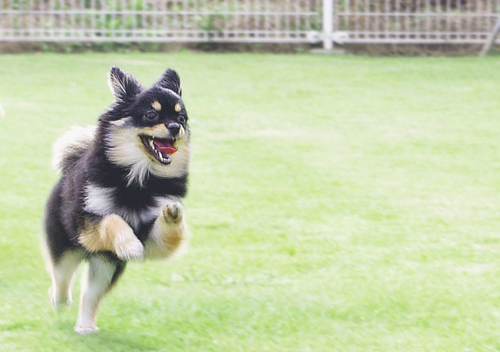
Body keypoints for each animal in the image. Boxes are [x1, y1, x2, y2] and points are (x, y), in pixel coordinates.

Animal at [43, 67, 190, 334]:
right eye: (151, 114)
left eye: (182, 118)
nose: (176, 127)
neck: (138, 180)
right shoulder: (87, 221)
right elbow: (113, 219)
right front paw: (130, 245)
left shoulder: (152, 239)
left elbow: (168, 233)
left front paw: (173, 214)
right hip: (66, 249)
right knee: (61, 279)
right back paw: (59, 300)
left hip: (105, 265)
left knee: (90, 295)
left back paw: (85, 327)